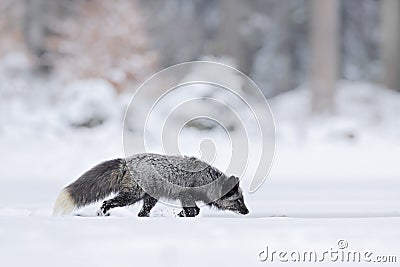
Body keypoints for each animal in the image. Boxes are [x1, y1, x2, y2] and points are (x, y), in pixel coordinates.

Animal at [52, 153, 248, 218]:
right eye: (238, 200)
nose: (247, 212)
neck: (206, 180)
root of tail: (126, 161)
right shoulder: (186, 196)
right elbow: (194, 211)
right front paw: (183, 216)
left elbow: (194, 211)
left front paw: (181, 215)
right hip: (131, 196)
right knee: (108, 202)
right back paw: (102, 213)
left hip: (150, 198)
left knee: (142, 213)